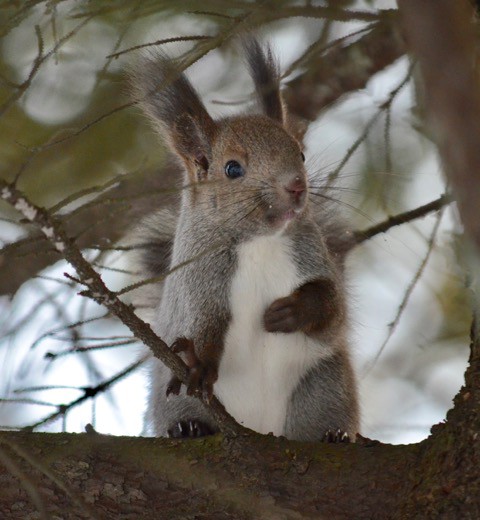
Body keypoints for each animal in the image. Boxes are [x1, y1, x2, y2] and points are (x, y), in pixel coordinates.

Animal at [129, 38, 358, 440]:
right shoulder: (200, 280)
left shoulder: (312, 255)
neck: (260, 243)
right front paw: (202, 364)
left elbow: (334, 310)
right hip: (174, 397)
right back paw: (189, 428)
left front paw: (295, 310)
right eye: (232, 168)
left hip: (325, 385)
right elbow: (202, 327)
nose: (296, 186)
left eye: (301, 153)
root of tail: (259, 428)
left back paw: (335, 435)